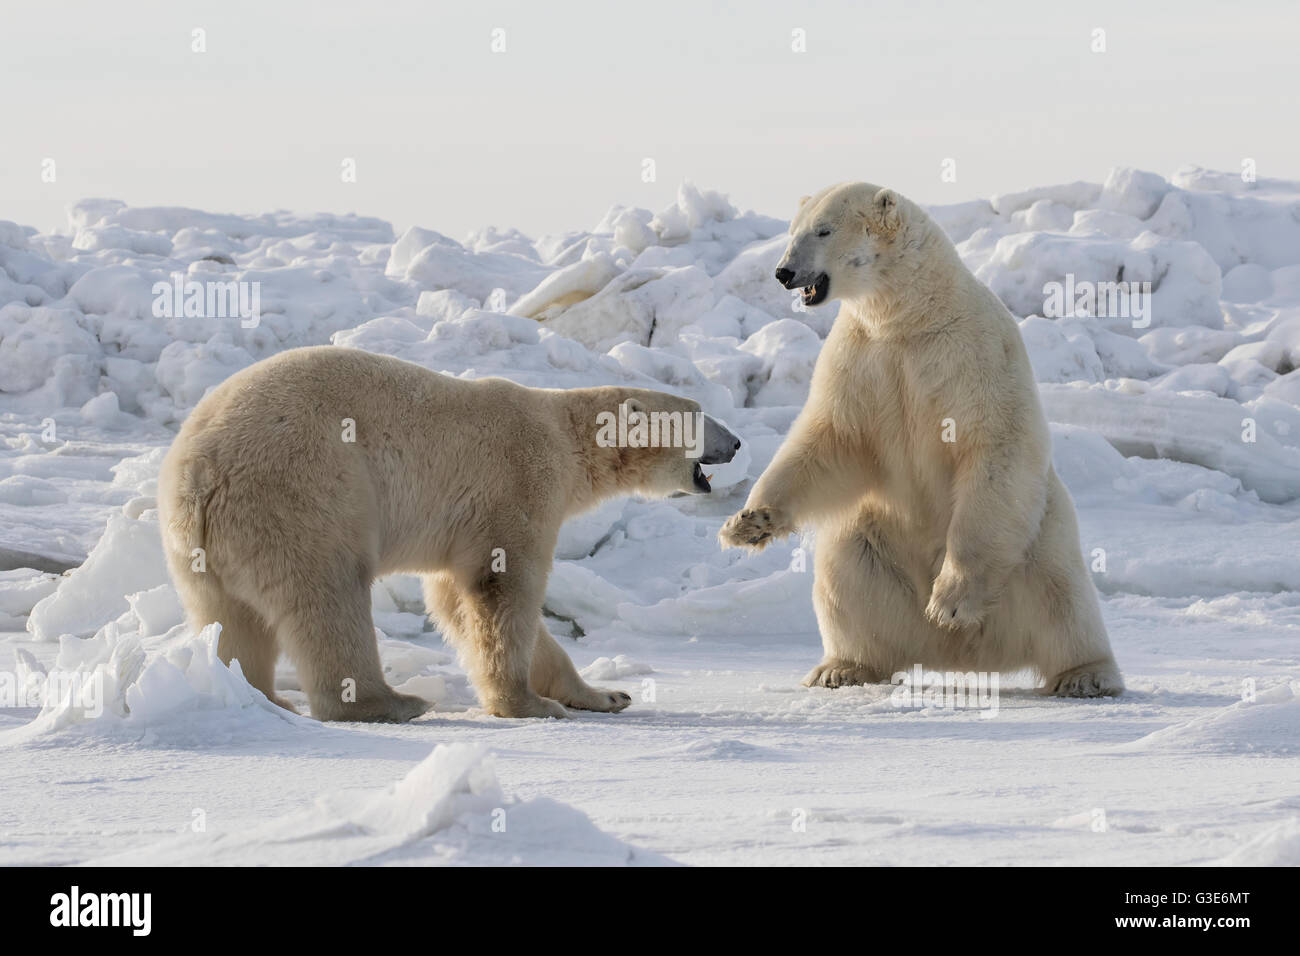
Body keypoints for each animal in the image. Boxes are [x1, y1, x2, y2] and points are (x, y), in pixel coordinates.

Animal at [157, 348, 738, 723]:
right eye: (699, 415)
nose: (734, 441)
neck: (566, 436)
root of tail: (200, 471)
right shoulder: (518, 481)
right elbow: (501, 586)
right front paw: (528, 705)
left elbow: (452, 597)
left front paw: (605, 695)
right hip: (304, 490)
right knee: (329, 593)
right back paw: (391, 703)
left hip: (202, 547)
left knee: (228, 616)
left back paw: (259, 696)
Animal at [717, 183, 1123, 697]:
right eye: (792, 231)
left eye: (823, 230)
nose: (783, 272)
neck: (911, 314)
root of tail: (963, 654)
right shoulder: (860, 354)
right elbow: (831, 439)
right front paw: (747, 523)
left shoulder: (974, 351)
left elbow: (992, 444)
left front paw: (949, 600)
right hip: (872, 541)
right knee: (845, 581)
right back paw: (842, 667)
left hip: (1039, 540)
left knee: (1062, 598)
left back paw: (1083, 675)